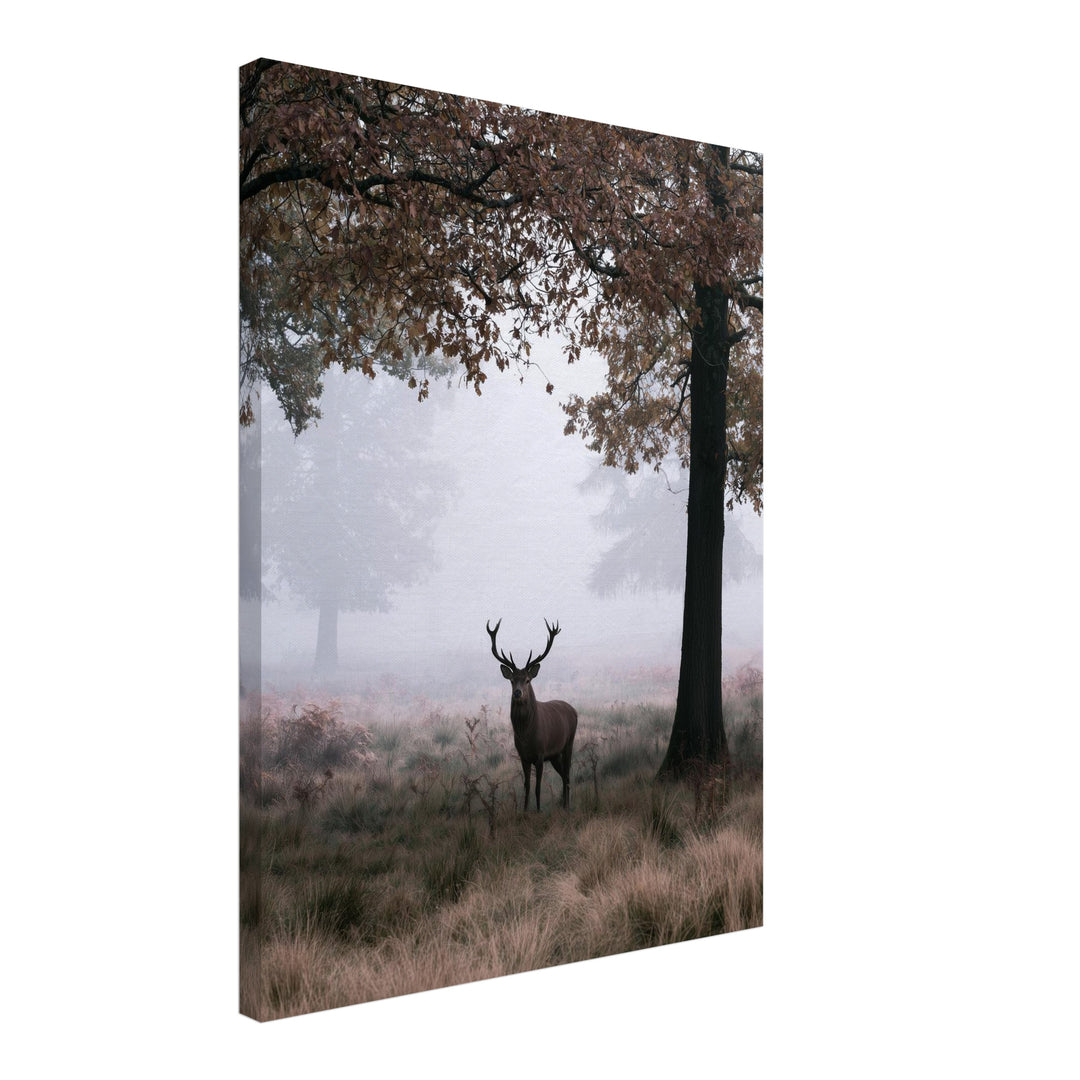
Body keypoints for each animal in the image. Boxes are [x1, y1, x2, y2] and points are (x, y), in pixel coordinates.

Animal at [487, 618, 578, 811]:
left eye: (527, 680)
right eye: (512, 680)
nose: (518, 693)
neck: (526, 735)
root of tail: (573, 710)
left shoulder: (541, 753)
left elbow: (538, 787)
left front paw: (538, 810)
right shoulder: (524, 756)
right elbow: (527, 786)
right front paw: (525, 809)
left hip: (568, 743)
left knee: (567, 775)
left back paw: (567, 806)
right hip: (555, 755)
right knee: (563, 775)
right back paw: (563, 805)